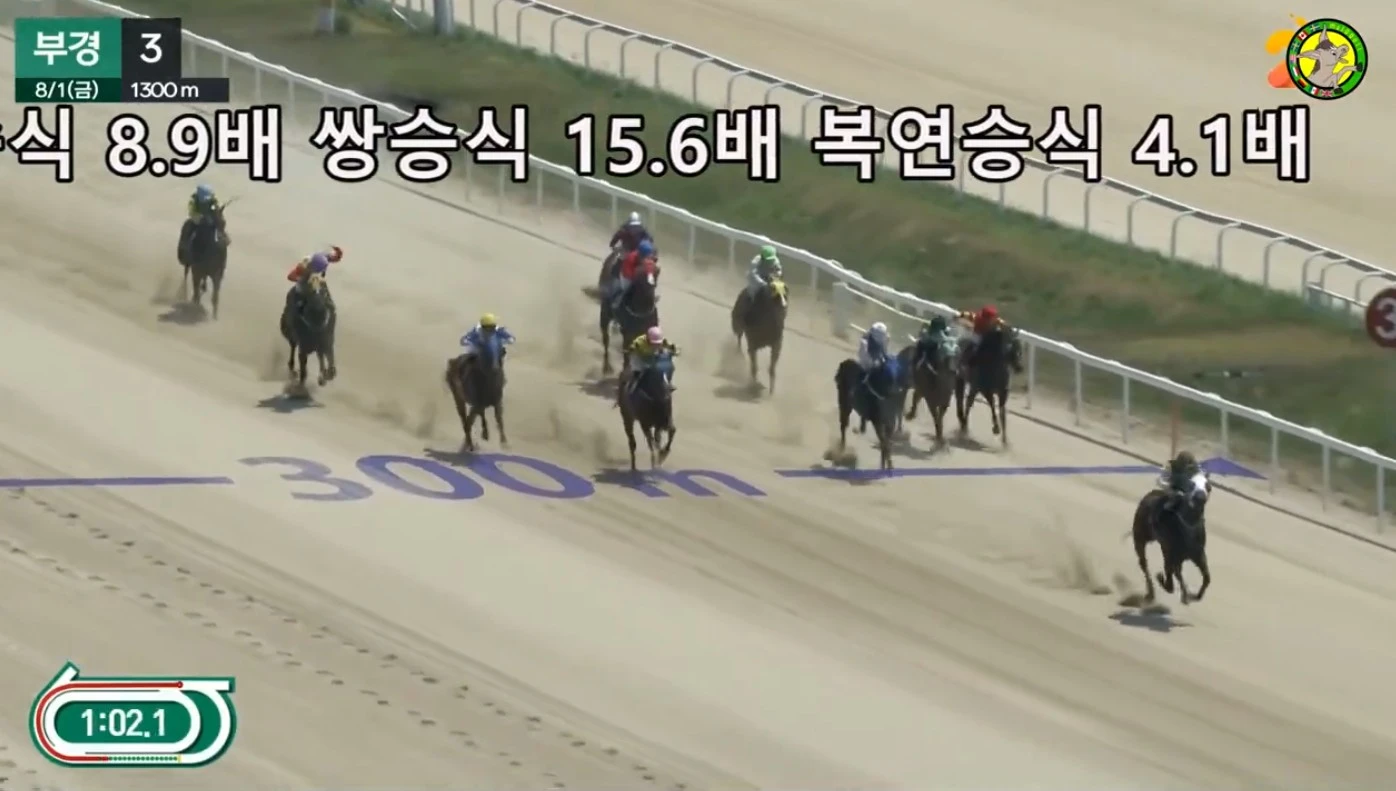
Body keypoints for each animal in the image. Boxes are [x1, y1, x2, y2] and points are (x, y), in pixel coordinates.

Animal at [1131, 470, 1213, 604]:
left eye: (1208, 486)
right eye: (1191, 484)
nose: (1200, 497)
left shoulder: (1198, 555)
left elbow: (1207, 578)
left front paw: (1197, 595)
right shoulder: (1175, 558)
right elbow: (1178, 579)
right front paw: (1185, 596)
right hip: (1140, 539)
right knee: (1144, 564)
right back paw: (1151, 591)